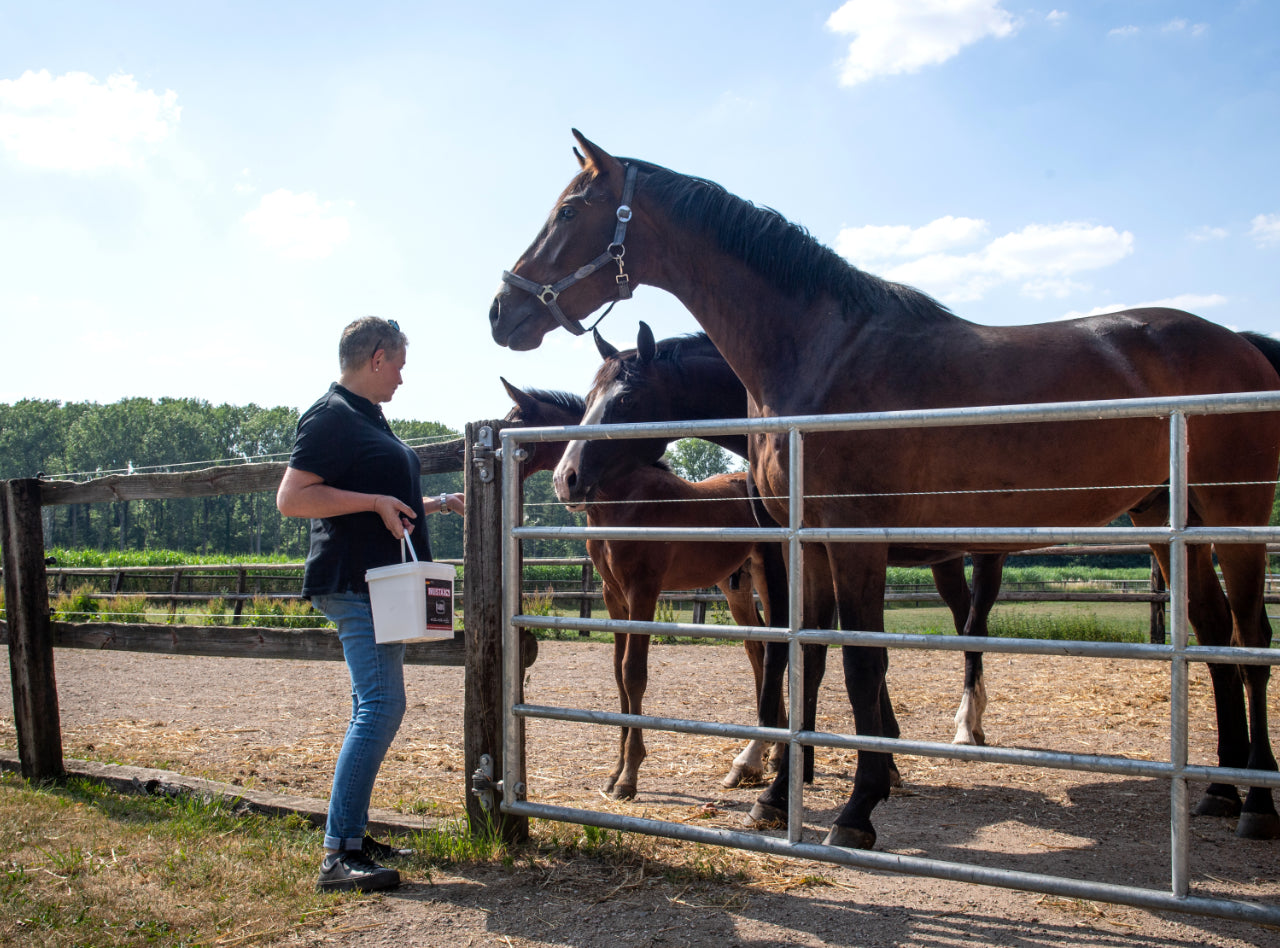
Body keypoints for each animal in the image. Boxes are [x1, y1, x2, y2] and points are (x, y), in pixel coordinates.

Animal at [496, 381, 778, 793]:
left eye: (513, 424)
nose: (565, 482)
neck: (623, 499)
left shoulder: (643, 591)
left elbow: (634, 673)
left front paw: (629, 775)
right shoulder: (613, 596)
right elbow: (618, 674)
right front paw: (615, 771)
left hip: (768, 578)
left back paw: (773, 754)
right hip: (735, 587)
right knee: (758, 649)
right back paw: (763, 752)